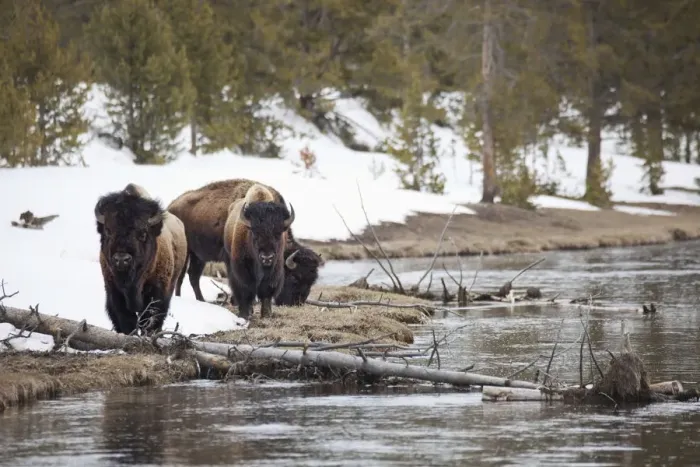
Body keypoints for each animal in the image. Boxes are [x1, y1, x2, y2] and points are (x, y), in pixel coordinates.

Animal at [94, 184, 188, 335]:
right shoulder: (114, 292)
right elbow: (126, 319)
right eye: (108, 231)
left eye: (142, 234)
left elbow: (148, 319)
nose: (122, 259)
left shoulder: (156, 292)